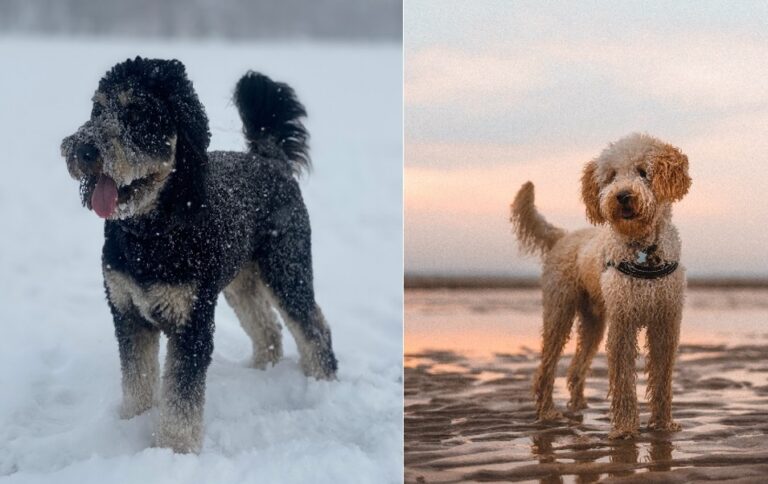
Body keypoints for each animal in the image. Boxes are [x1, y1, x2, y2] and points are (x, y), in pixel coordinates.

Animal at [64, 57, 340, 454]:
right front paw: (132, 424)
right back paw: (262, 372)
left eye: (137, 114)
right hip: (241, 282)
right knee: (267, 327)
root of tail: (270, 159)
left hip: (286, 267)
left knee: (313, 326)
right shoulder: (127, 312)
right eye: (98, 110)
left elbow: (182, 397)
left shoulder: (190, 322)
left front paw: (173, 451)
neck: (151, 233)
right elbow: (136, 378)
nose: (84, 151)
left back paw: (322, 383)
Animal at [510, 132, 688, 438]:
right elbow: (623, 379)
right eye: (612, 176)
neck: (643, 250)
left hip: (593, 320)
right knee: (546, 369)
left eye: (643, 172)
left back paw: (579, 405)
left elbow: (663, 377)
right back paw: (547, 412)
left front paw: (663, 424)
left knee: (575, 368)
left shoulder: (665, 322)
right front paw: (626, 428)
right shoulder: (623, 324)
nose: (623, 196)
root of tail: (562, 236)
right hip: (559, 311)